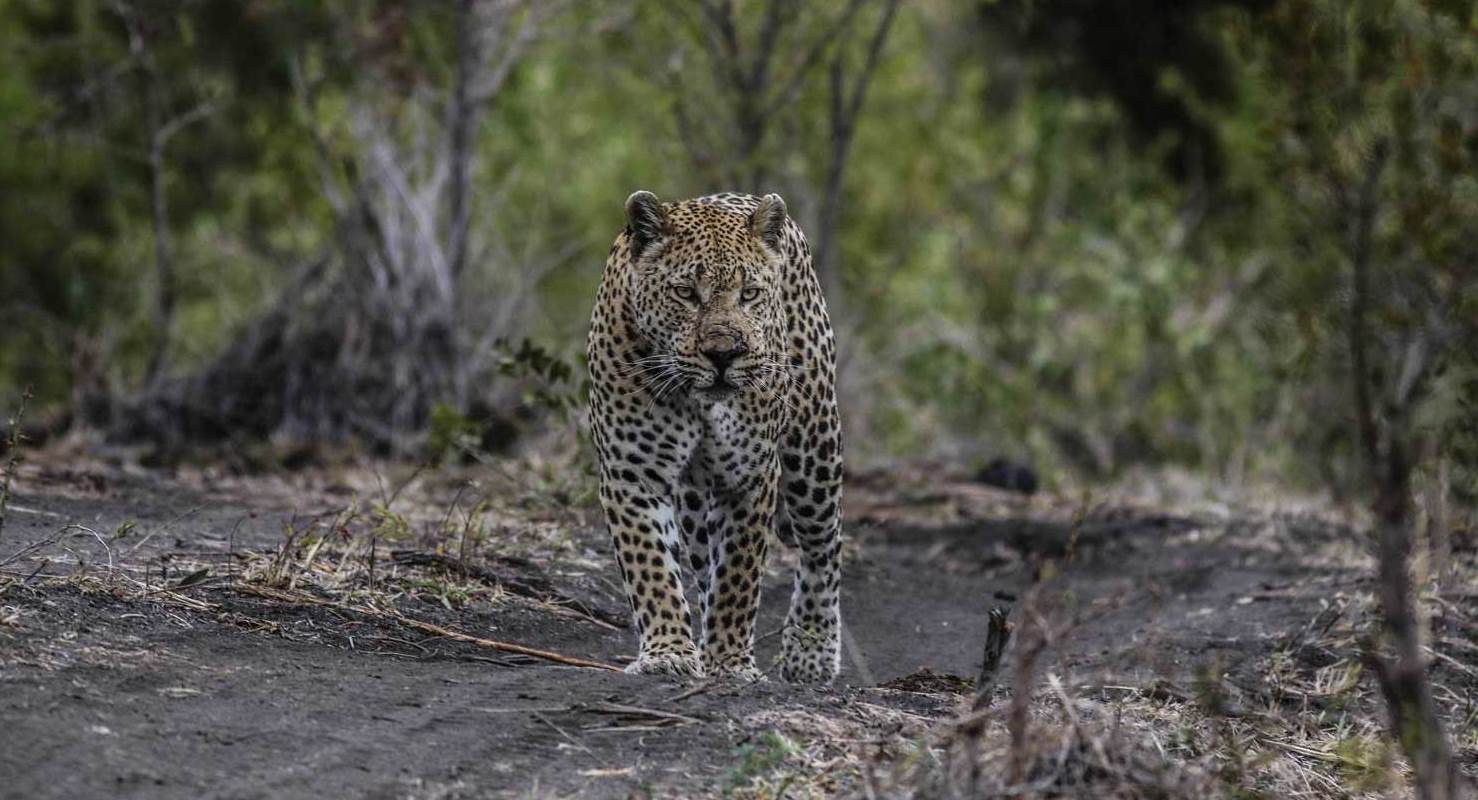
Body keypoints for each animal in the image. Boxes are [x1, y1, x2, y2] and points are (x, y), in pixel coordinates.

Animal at [586, 190, 844, 684]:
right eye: (686, 293)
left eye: (750, 294)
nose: (724, 354)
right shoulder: (633, 473)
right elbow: (651, 568)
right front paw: (669, 651)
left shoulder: (751, 475)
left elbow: (738, 577)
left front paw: (729, 662)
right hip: (694, 503)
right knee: (704, 564)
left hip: (814, 446)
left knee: (823, 545)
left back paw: (812, 651)